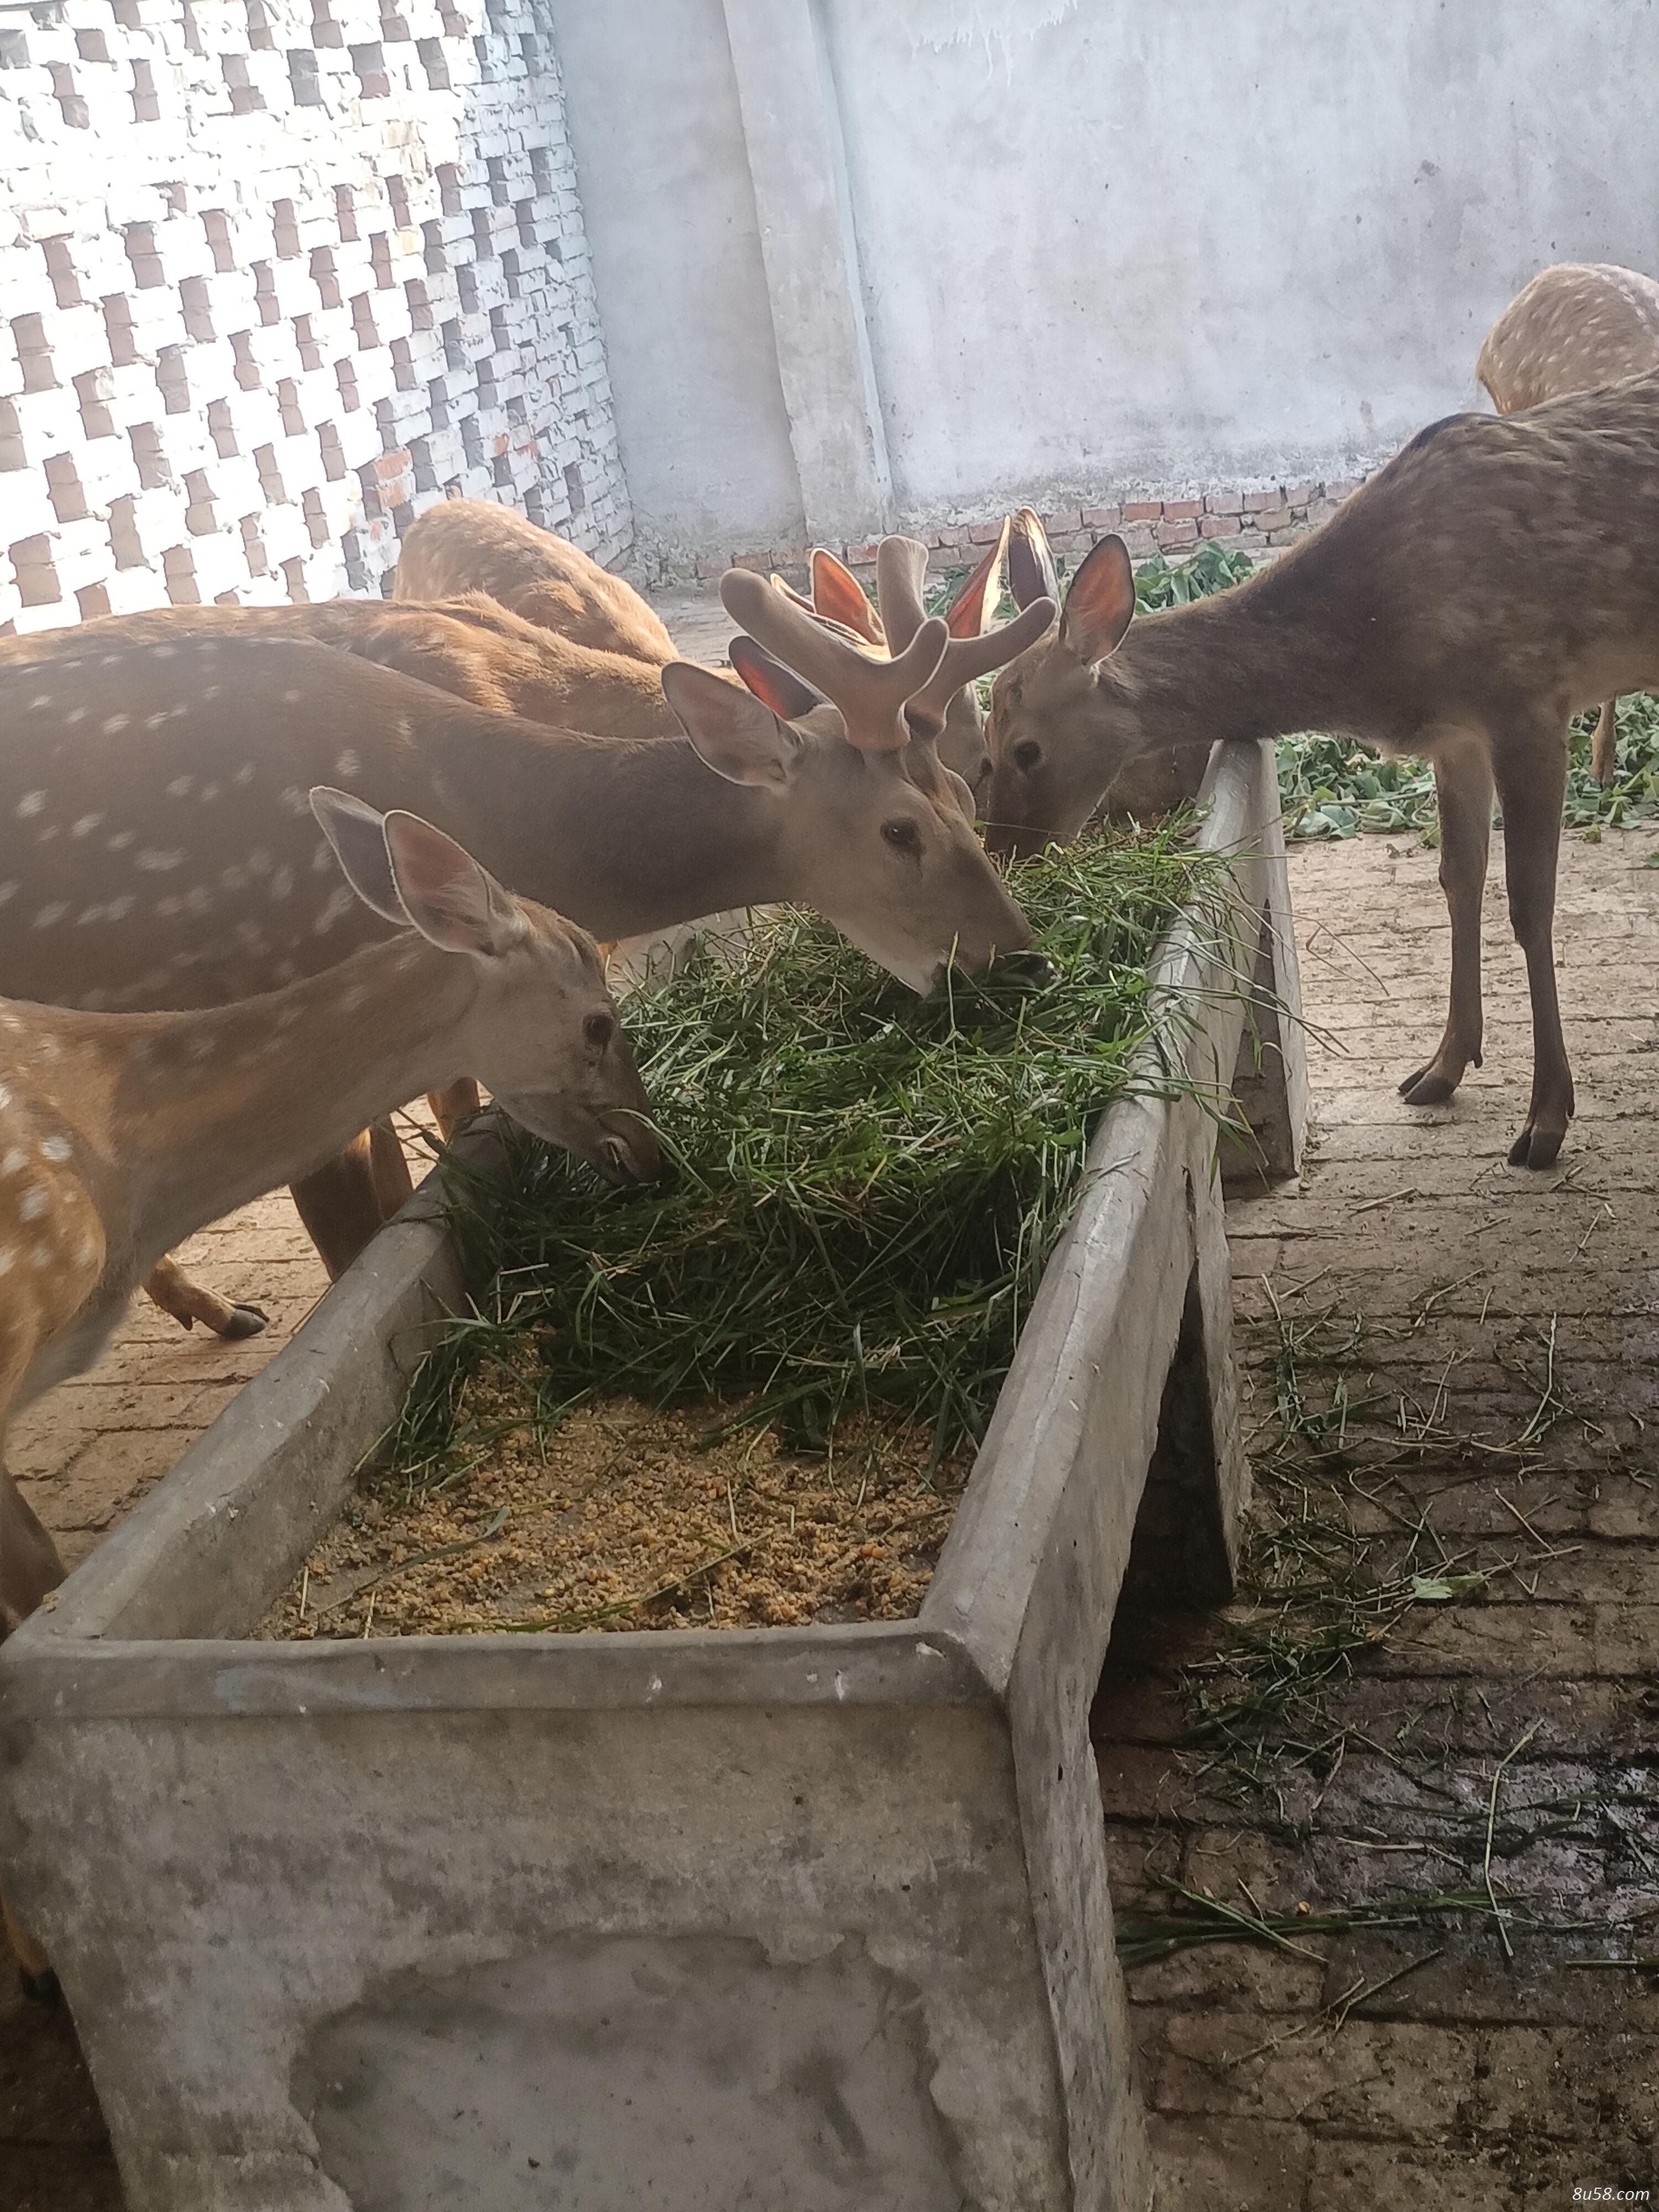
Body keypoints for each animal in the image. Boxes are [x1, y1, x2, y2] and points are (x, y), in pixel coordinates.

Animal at [983, 372, 1659, 1171]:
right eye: (983, 745)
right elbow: (1458, 882)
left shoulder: (1527, 699)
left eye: (1025, 750)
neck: (1377, 649)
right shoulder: (1456, 736)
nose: (1005, 856)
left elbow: (1530, 905)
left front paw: (1546, 1120)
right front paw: (1441, 1067)